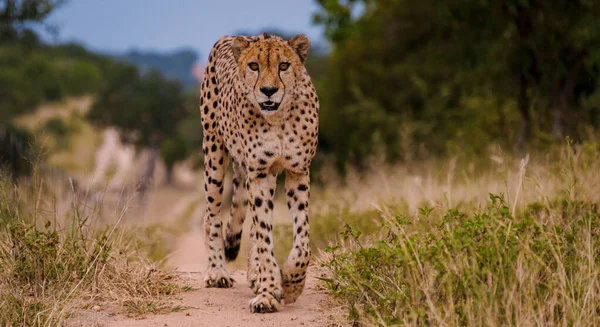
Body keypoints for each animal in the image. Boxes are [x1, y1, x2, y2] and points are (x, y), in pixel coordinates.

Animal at [198, 34, 322, 316]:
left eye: (284, 66)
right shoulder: (259, 172)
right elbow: (265, 237)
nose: (268, 90)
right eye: (254, 66)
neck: (278, 117)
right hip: (214, 152)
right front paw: (267, 293)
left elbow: (302, 238)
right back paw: (217, 272)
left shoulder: (297, 172)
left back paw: (256, 275)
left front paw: (291, 283)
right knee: (212, 216)